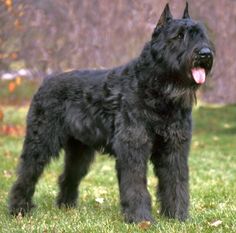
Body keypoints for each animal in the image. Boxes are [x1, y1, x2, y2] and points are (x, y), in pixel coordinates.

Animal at [8, 2, 214, 223]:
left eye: (201, 34)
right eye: (179, 36)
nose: (205, 53)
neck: (158, 91)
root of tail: (45, 82)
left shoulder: (174, 148)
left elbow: (176, 181)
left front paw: (177, 217)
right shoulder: (133, 146)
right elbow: (135, 184)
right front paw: (141, 218)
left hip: (80, 150)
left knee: (68, 175)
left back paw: (66, 206)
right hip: (41, 141)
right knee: (27, 173)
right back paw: (19, 209)